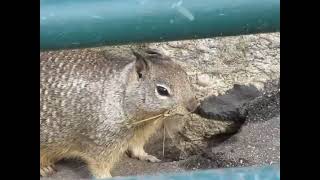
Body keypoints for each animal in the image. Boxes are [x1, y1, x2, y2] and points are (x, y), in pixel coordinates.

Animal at [40, 47, 198, 179]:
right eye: (162, 90)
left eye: (186, 77)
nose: (193, 106)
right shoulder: (101, 142)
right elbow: (99, 165)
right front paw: (107, 177)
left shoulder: (142, 131)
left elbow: (137, 147)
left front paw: (146, 156)